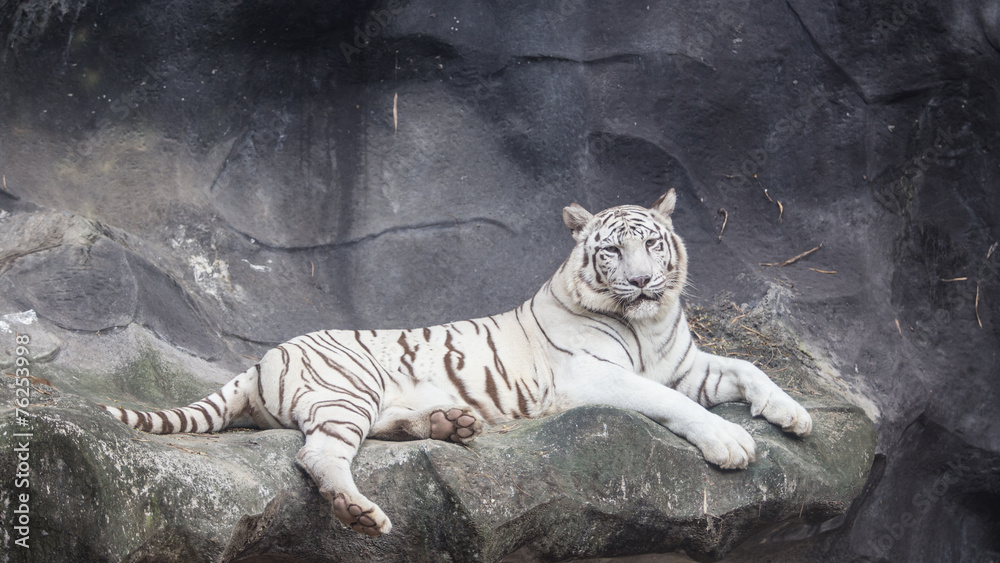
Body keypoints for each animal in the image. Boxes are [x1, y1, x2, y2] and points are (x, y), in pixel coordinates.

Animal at [103, 189, 812, 537]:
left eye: (653, 245)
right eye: (611, 251)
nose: (640, 282)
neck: (646, 323)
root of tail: (262, 358)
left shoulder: (686, 362)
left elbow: (749, 369)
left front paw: (794, 416)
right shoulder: (596, 374)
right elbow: (674, 404)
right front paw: (731, 443)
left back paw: (451, 425)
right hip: (348, 387)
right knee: (318, 454)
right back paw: (362, 513)